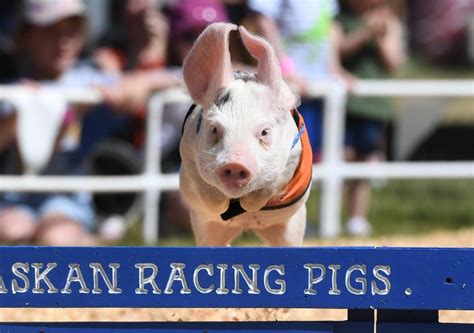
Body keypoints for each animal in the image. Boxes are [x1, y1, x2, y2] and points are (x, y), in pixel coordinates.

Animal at [178, 23, 312, 245]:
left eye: (265, 131)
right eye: (214, 129)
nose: (235, 163)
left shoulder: (294, 154)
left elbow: (272, 182)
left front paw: (251, 204)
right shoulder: (187, 149)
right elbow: (203, 186)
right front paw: (220, 206)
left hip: (293, 227)